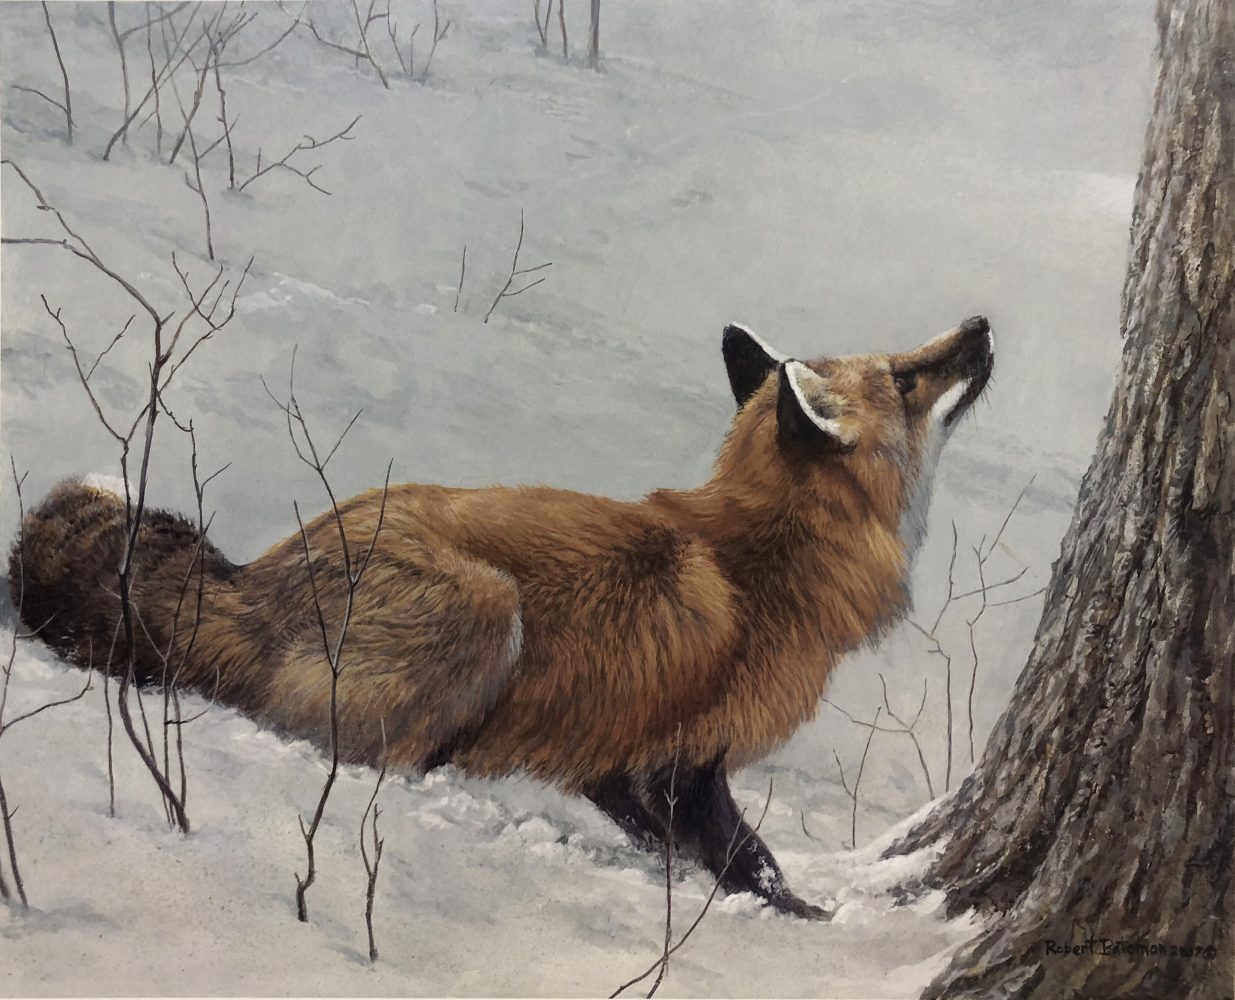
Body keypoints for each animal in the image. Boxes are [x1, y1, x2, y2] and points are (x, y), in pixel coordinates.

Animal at [11, 315, 993, 919]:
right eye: (907, 376)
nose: (981, 326)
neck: (766, 559)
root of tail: (260, 575)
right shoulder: (685, 755)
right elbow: (747, 859)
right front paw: (803, 916)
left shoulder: (619, 749)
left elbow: (667, 836)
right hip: (491, 609)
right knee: (337, 747)